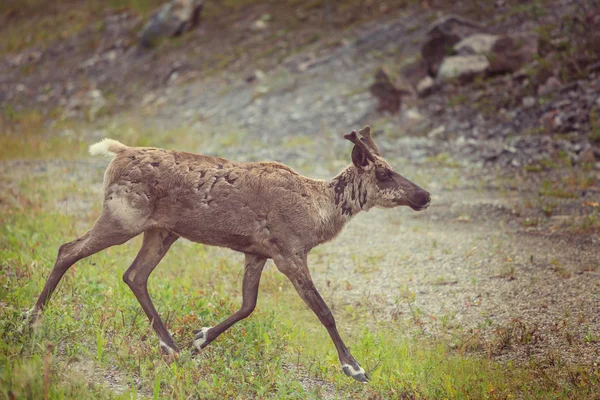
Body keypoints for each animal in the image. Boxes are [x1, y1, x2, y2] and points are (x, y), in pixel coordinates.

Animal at [29, 126, 432, 382]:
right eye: (383, 173)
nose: (425, 195)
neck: (319, 212)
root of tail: (119, 152)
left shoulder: (257, 253)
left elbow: (247, 306)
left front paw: (198, 341)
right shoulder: (289, 253)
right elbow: (324, 313)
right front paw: (355, 368)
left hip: (161, 231)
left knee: (134, 275)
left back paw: (170, 347)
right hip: (123, 217)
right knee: (68, 250)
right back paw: (31, 320)